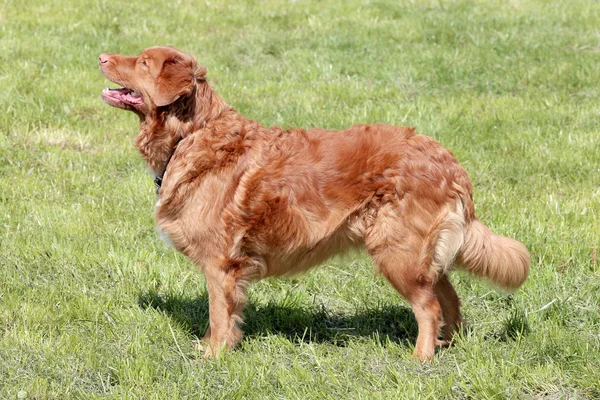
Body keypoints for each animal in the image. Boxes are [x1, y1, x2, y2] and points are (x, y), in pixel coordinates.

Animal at [99, 45, 528, 360]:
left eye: (142, 62)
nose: (101, 57)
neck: (191, 134)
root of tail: (450, 162)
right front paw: (210, 346)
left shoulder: (221, 263)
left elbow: (219, 314)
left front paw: (214, 356)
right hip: (421, 253)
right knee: (449, 298)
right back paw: (447, 346)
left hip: (397, 251)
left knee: (430, 307)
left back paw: (421, 358)